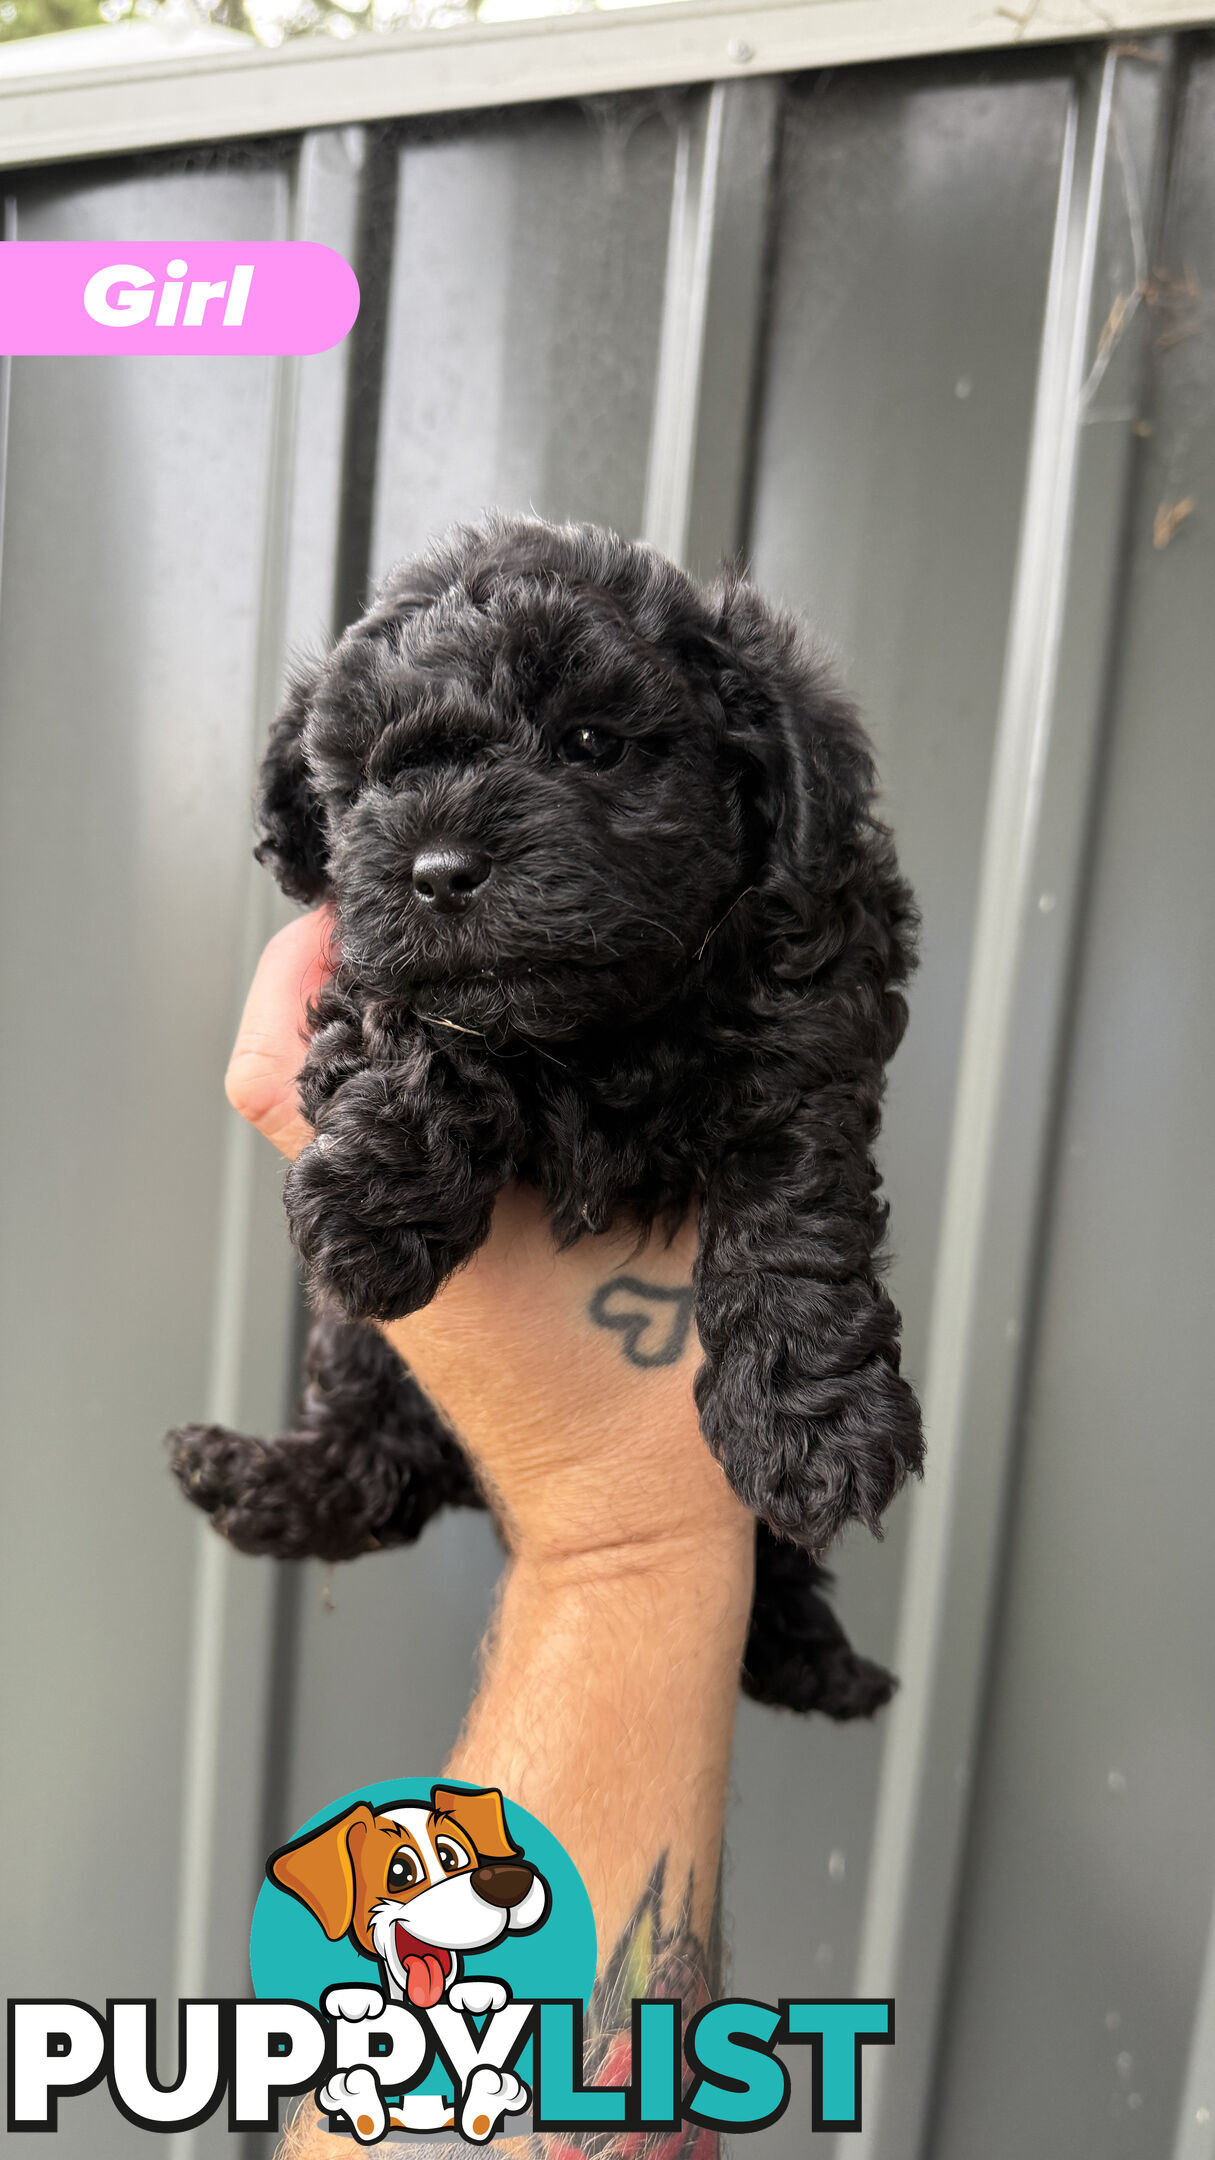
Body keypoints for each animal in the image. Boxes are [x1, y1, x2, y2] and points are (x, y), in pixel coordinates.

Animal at [170, 514, 916, 1710]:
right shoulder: (369, 949)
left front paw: (813, 1423)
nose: (438, 871)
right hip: (360, 1358)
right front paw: (376, 1197)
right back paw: (257, 1483)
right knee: (386, 1469)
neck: (596, 1033)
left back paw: (811, 1650)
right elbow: (408, 1011)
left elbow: (794, 1199)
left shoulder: (818, 1000)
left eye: (591, 742)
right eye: (372, 775)